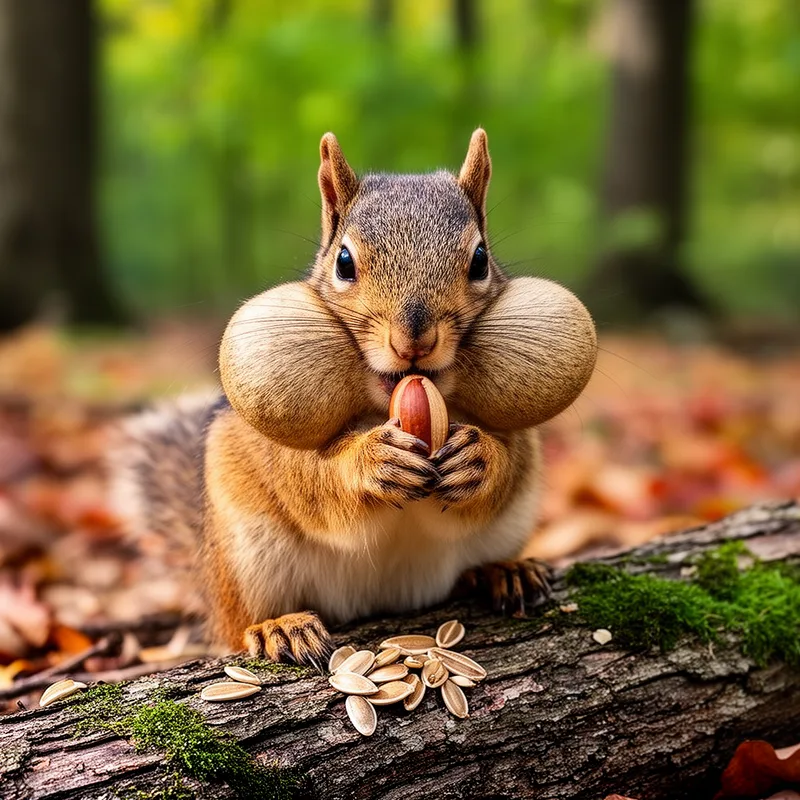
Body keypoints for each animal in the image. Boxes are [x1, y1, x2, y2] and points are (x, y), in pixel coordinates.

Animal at [111, 129, 597, 668]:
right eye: (344, 262)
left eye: (480, 260)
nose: (414, 340)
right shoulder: (274, 447)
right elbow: (309, 480)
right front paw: (371, 461)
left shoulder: (520, 440)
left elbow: (506, 464)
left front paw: (478, 459)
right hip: (244, 556)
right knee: (236, 625)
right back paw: (279, 626)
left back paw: (503, 571)